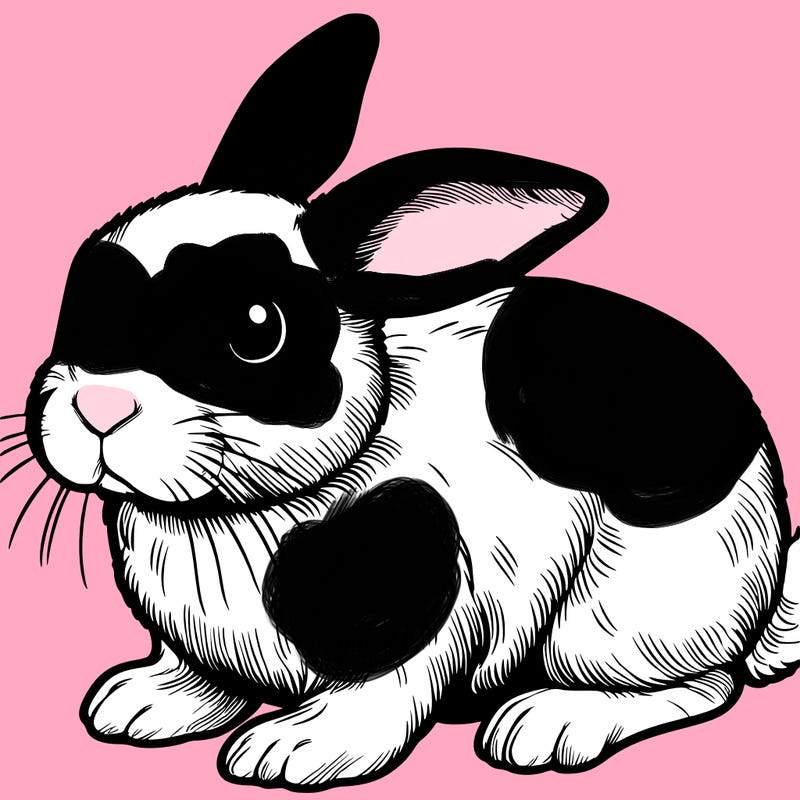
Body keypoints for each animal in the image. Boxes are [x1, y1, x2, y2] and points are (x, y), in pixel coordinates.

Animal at [8, 12, 800, 791]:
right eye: (83, 292)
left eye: (258, 329)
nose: (99, 408)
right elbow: (201, 674)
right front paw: (145, 703)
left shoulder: (427, 610)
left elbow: (381, 691)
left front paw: (293, 749)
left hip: (627, 618)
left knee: (701, 686)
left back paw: (550, 723)